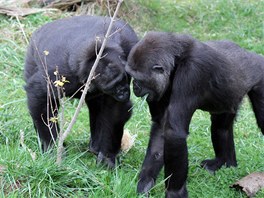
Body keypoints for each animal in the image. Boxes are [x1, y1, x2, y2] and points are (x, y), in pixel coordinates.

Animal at [24, 15, 138, 167]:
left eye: (124, 79)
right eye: (115, 85)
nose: (124, 92)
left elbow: (114, 110)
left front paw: (107, 156)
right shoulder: (57, 73)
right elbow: (41, 100)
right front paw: (51, 148)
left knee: (97, 106)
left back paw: (95, 146)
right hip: (31, 54)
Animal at [125, 31, 264, 197]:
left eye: (139, 78)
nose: (134, 86)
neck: (177, 59)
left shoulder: (192, 72)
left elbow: (174, 133)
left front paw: (174, 192)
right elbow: (161, 129)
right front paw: (145, 181)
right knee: (221, 127)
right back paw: (225, 163)